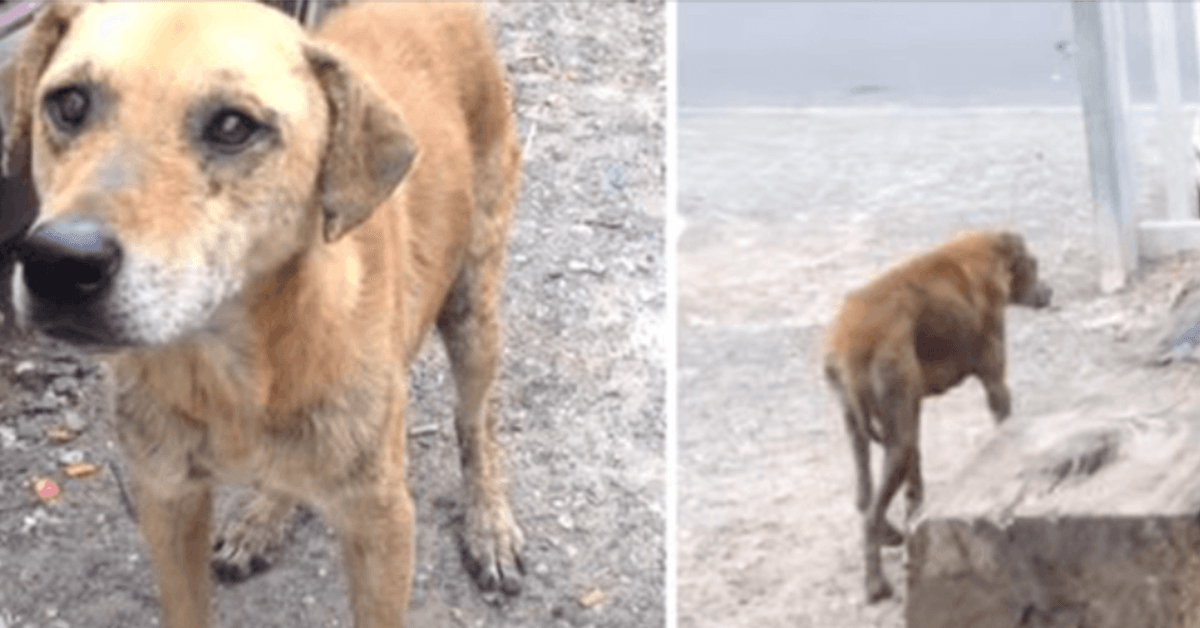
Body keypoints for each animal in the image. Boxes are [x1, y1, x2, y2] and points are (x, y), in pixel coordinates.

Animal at [3, 2, 525, 624]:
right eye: (69, 103)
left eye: (233, 126)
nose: (59, 262)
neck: (236, 372)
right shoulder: (167, 497)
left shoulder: (382, 521)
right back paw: (265, 516)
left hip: (474, 309)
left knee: (476, 423)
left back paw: (489, 523)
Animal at [825, 230, 1051, 605]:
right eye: (1035, 263)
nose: (1050, 292)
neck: (988, 252)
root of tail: (850, 347)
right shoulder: (995, 383)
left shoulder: (911, 410)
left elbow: (914, 483)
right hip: (896, 442)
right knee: (870, 514)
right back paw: (876, 584)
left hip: (862, 431)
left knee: (863, 498)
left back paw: (889, 536)